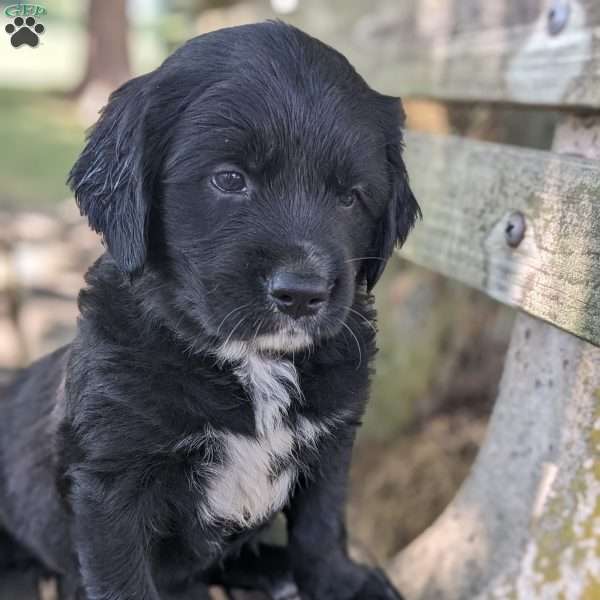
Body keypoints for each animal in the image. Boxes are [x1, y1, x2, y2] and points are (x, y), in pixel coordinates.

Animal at [0, 21, 420, 600]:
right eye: (229, 179)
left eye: (350, 197)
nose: (302, 293)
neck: (252, 363)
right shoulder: (111, 482)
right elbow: (123, 580)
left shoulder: (333, 438)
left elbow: (321, 523)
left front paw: (341, 582)